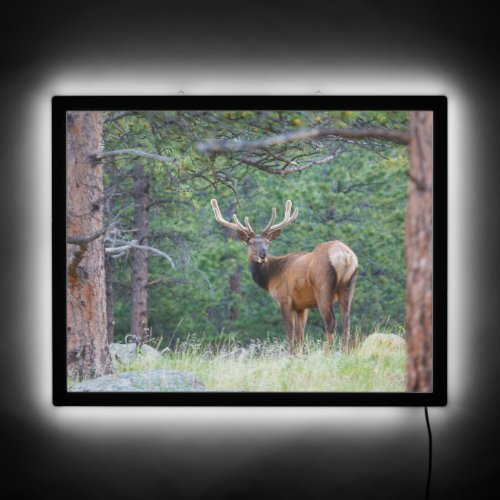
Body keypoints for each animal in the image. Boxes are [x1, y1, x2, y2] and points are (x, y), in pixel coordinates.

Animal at [209, 197, 358, 354]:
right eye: (250, 243)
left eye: (268, 242)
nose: (263, 254)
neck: (271, 277)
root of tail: (345, 256)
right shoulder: (301, 306)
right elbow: (300, 335)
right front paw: (299, 355)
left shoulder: (284, 299)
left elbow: (290, 334)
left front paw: (291, 354)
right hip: (349, 286)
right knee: (347, 322)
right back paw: (345, 352)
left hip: (322, 287)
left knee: (330, 322)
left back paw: (327, 353)